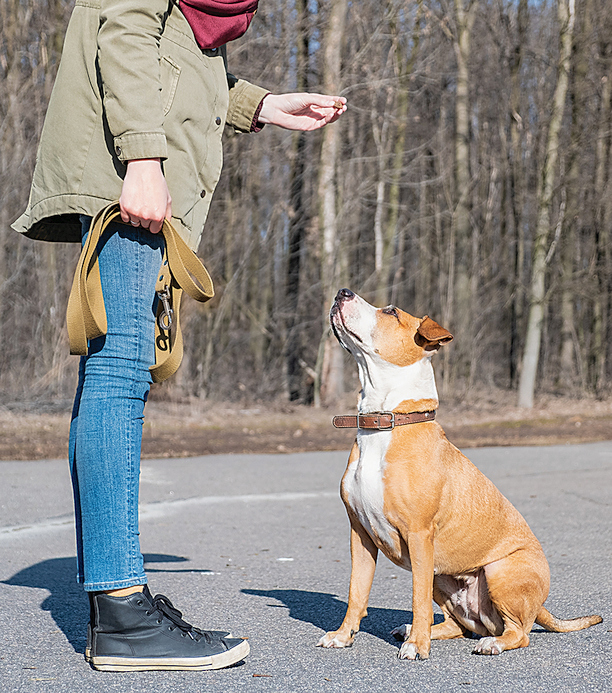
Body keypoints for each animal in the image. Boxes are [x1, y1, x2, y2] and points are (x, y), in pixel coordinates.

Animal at [316, 288, 604, 660]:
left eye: (391, 311)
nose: (342, 292)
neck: (385, 422)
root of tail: (540, 606)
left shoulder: (420, 535)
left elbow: (417, 599)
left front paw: (417, 647)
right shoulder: (360, 534)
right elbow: (356, 591)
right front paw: (342, 636)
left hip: (497, 570)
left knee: (518, 633)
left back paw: (488, 643)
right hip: (443, 576)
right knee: (458, 625)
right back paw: (413, 630)